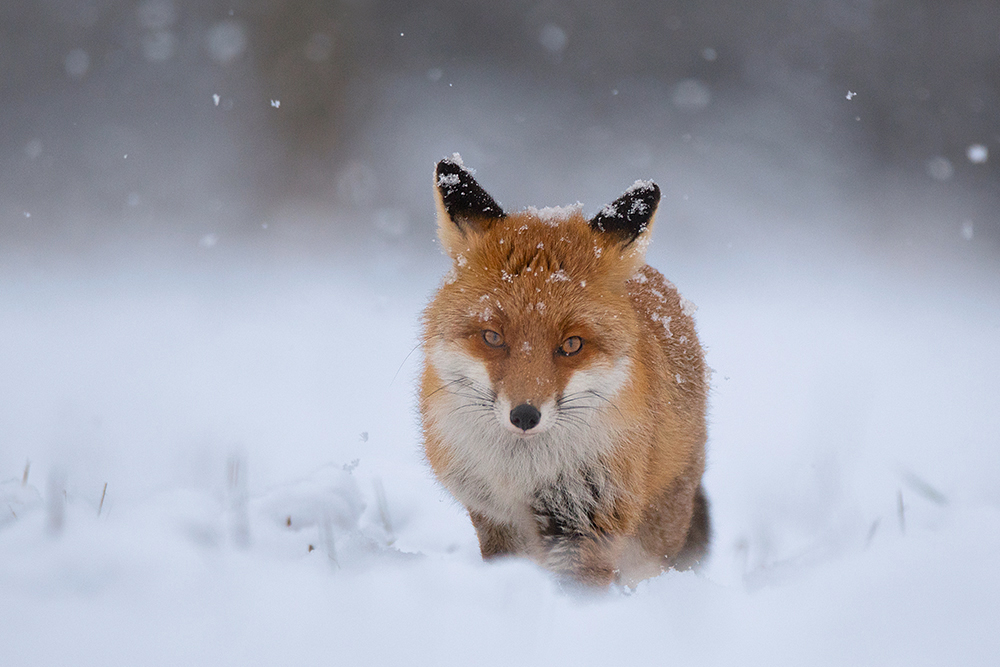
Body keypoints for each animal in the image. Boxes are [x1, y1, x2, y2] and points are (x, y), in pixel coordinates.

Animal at [420, 155, 712, 584]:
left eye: (572, 345)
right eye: (492, 337)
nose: (525, 415)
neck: (523, 475)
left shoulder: (589, 518)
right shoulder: (495, 518)